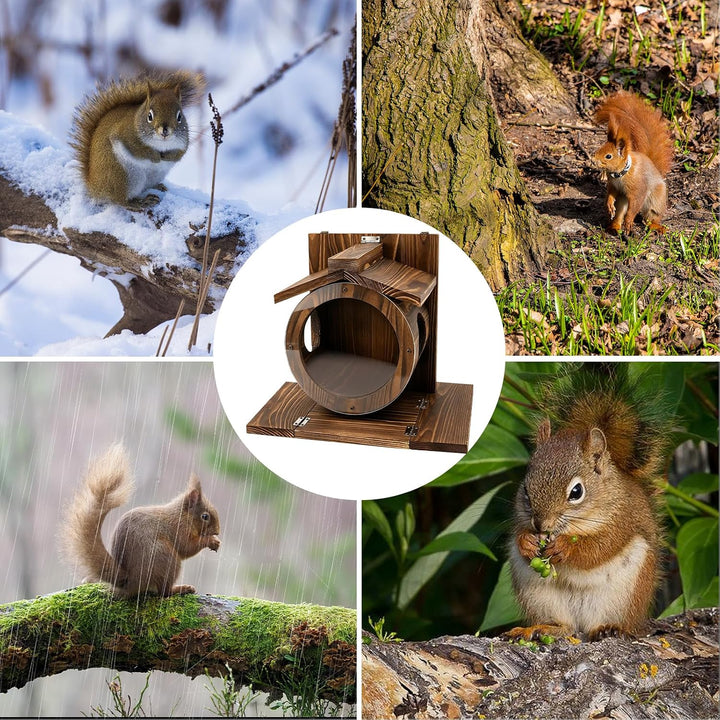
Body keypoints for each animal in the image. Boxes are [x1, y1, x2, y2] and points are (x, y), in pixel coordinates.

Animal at [62, 444, 221, 598]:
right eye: (205, 516)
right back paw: (181, 589)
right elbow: (186, 547)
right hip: (166, 558)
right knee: (164, 592)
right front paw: (210, 541)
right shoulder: (179, 528)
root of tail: (130, 581)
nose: (218, 531)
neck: (183, 515)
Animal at [70, 70, 205, 208]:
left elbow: (179, 153)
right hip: (124, 176)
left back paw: (158, 186)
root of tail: (94, 185)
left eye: (179, 116)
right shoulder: (124, 135)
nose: (165, 131)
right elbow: (139, 150)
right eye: (149, 116)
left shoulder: (183, 142)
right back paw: (139, 203)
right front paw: (155, 156)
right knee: (121, 200)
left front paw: (168, 156)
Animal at [505, 364, 670, 642]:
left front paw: (566, 549)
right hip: (539, 595)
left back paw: (610, 628)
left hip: (624, 595)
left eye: (576, 491)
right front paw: (526, 542)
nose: (540, 525)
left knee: (607, 622)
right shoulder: (520, 516)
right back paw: (542, 627)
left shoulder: (622, 518)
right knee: (565, 626)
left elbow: (602, 546)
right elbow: (518, 533)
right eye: (525, 488)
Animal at [593, 91, 674, 234]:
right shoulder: (613, 185)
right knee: (620, 212)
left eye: (608, 156)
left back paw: (655, 226)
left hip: (655, 201)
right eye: (600, 148)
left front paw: (629, 220)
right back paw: (615, 226)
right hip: (623, 199)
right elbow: (611, 193)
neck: (621, 173)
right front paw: (609, 204)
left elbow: (634, 206)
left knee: (652, 217)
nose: (593, 160)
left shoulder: (638, 189)